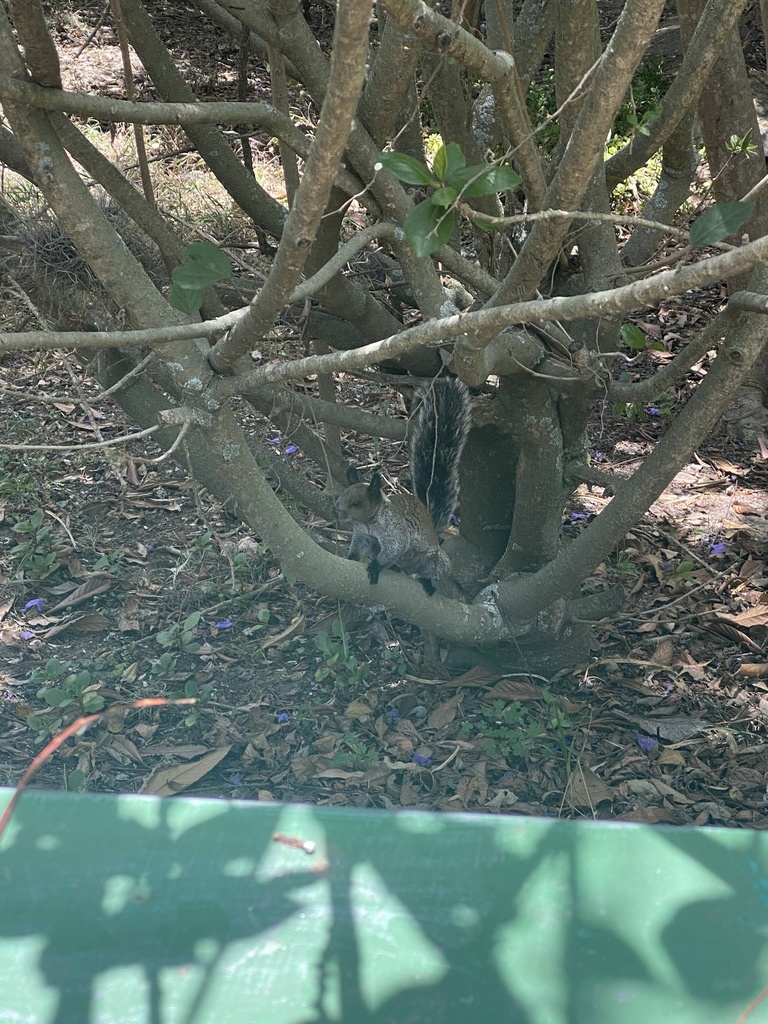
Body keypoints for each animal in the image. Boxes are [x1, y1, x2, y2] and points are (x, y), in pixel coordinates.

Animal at [335, 377, 471, 593]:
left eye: (356, 503)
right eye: (341, 497)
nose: (336, 514)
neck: (369, 522)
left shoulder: (396, 531)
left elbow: (395, 547)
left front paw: (376, 566)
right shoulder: (363, 536)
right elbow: (358, 546)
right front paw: (351, 557)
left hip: (437, 561)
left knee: (430, 571)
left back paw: (427, 583)